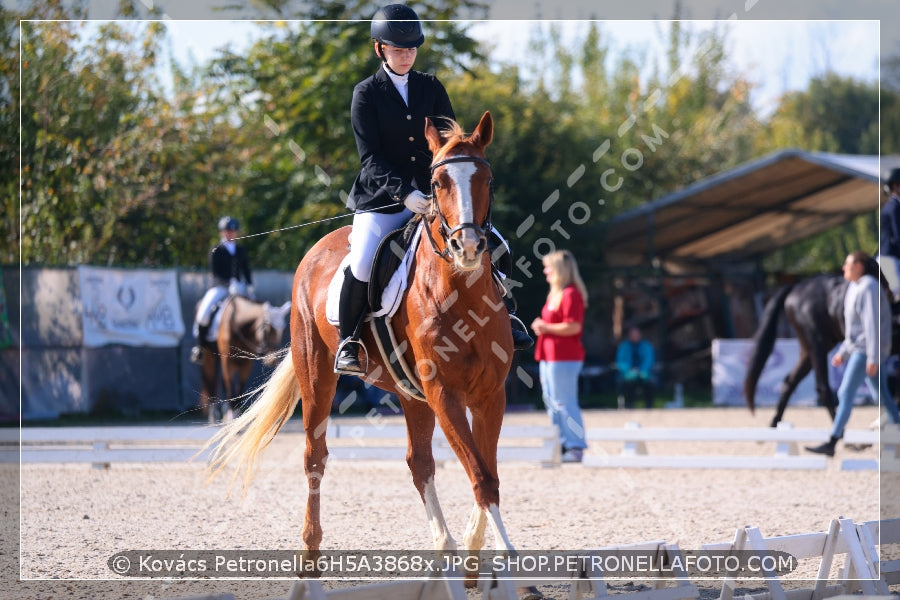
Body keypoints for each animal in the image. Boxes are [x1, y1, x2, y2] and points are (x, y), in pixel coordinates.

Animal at [205, 112, 536, 596]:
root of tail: (318, 248)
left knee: (419, 464)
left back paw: (444, 556)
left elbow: (488, 475)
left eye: (487, 180)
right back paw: (309, 566)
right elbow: (479, 474)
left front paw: (478, 564)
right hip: (319, 376)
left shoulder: (489, 394)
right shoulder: (445, 393)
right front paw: (511, 570)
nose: (469, 248)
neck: (461, 292)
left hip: (412, 395)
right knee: (315, 458)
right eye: (436, 182)